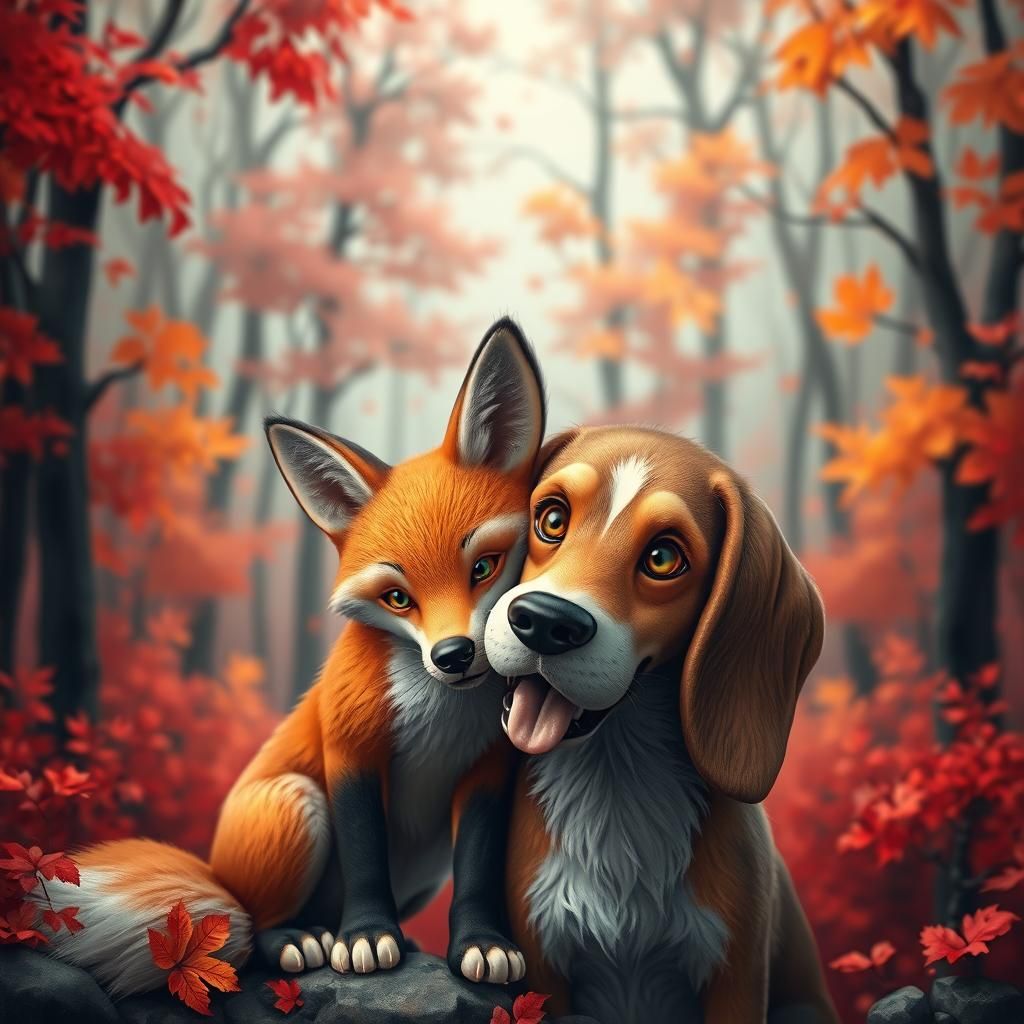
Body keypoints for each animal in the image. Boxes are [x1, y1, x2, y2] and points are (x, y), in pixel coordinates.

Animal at [38, 320, 545, 996]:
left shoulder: (488, 770)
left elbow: (479, 873)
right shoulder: (350, 748)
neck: (442, 717)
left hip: (422, 864)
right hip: (295, 804)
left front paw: (481, 945)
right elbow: (364, 856)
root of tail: (219, 877)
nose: (453, 655)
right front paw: (367, 938)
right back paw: (303, 941)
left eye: (485, 567)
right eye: (398, 597)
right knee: (258, 929)